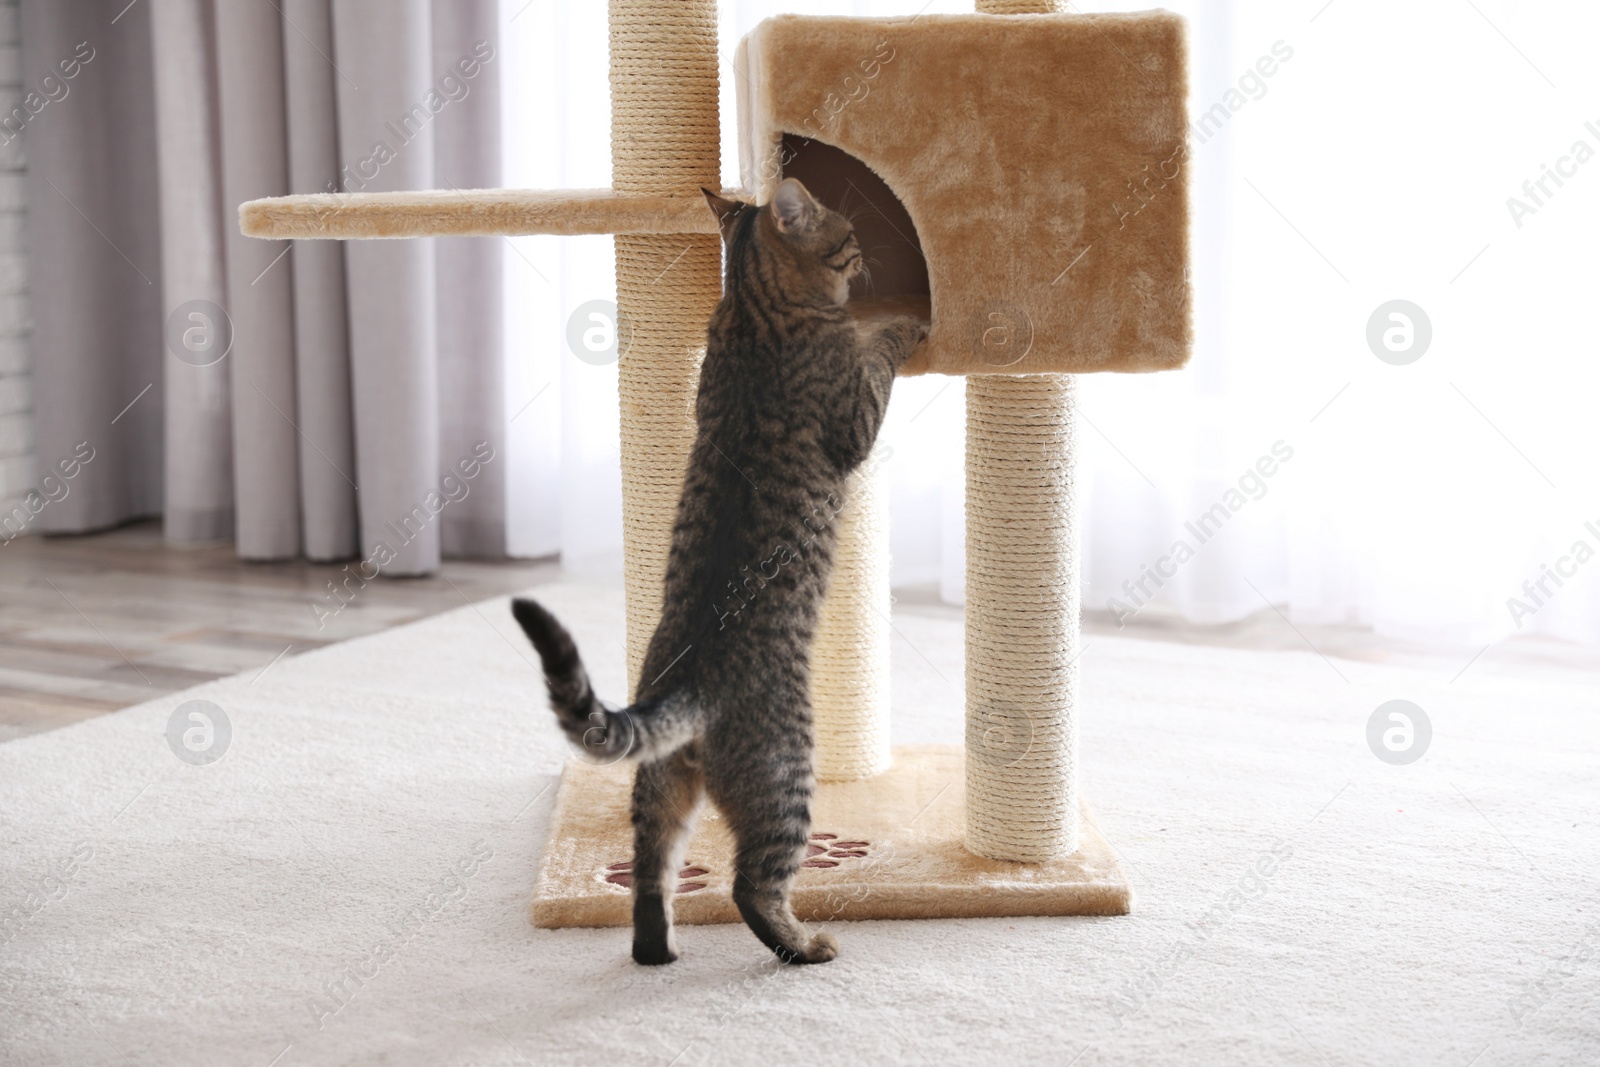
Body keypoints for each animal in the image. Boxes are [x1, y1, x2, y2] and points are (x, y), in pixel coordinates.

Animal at [512, 177, 928, 966]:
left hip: (659, 791)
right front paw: (905, 320)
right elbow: (881, 352)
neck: (751, 311)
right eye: (850, 232)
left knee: (651, 876)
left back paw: (658, 950)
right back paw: (806, 945)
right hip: (788, 778)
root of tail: (691, 685)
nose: (867, 255)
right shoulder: (856, 417)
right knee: (751, 887)